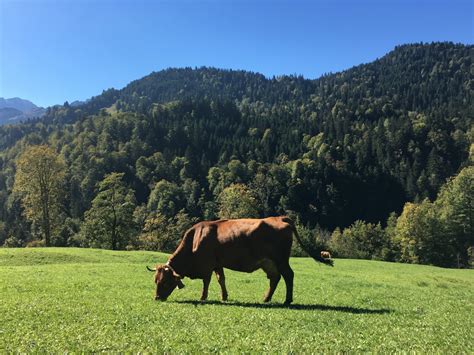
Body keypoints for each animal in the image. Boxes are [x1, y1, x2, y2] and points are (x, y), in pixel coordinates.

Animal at [146, 217, 332, 306]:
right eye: (155, 280)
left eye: (164, 282)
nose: (156, 298)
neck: (195, 239)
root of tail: (279, 217)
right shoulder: (218, 263)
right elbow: (221, 279)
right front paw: (224, 297)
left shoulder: (207, 265)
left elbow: (206, 281)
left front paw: (203, 297)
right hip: (268, 262)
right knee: (275, 278)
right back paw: (266, 298)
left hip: (280, 259)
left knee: (288, 275)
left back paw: (287, 300)